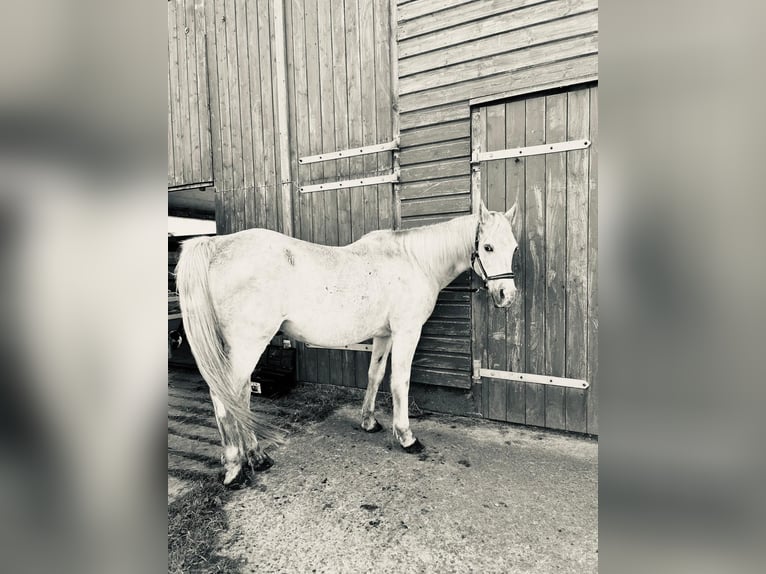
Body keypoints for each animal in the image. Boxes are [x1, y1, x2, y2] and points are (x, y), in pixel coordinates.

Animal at [176, 201, 520, 486]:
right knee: (226, 396)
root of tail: (217, 245)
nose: (507, 296)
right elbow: (400, 382)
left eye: (514, 247)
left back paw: (255, 457)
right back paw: (237, 467)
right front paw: (406, 437)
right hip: (248, 343)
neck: (413, 261)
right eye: (487, 246)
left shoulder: (385, 335)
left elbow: (375, 376)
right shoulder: (406, 332)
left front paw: (369, 421)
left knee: (240, 395)